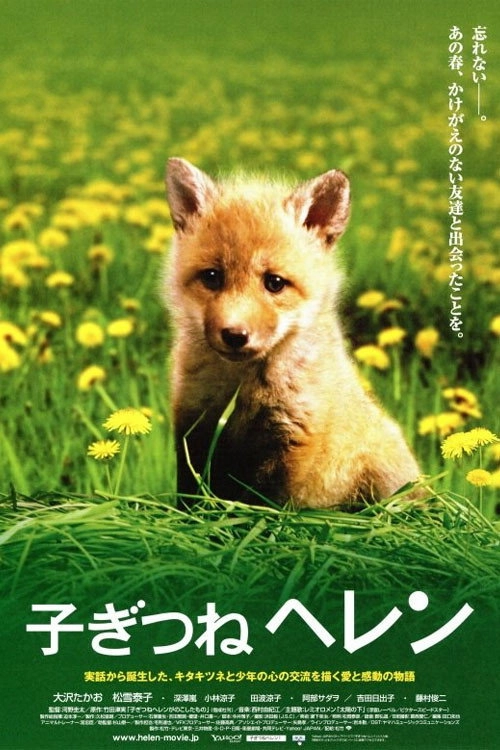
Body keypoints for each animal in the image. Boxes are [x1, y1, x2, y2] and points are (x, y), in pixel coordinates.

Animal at [164, 157, 421, 509]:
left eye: (274, 283)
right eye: (212, 277)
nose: (235, 335)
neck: (245, 386)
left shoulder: (293, 439)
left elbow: (269, 505)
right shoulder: (194, 421)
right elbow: (190, 492)